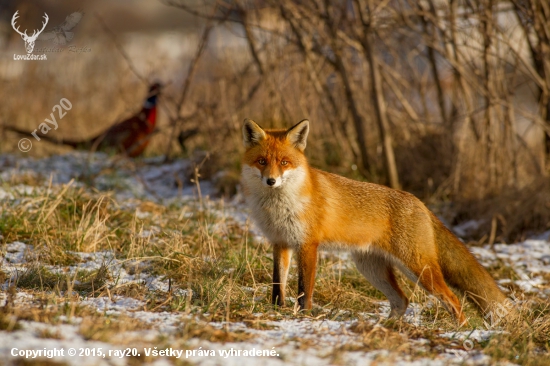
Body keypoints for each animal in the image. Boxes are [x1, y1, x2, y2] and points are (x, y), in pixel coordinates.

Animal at [244, 118, 512, 324]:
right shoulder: (280, 242)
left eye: (284, 162)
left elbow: (303, 291)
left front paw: (304, 317)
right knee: (402, 300)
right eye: (262, 162)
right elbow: (277, 286)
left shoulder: (308, 245)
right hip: (372, 269)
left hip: (418, 269)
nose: (271, 181)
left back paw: (462, 331)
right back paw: (387, 327)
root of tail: (420, 203)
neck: (278, 207)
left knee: (453, 299)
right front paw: (277, 312)